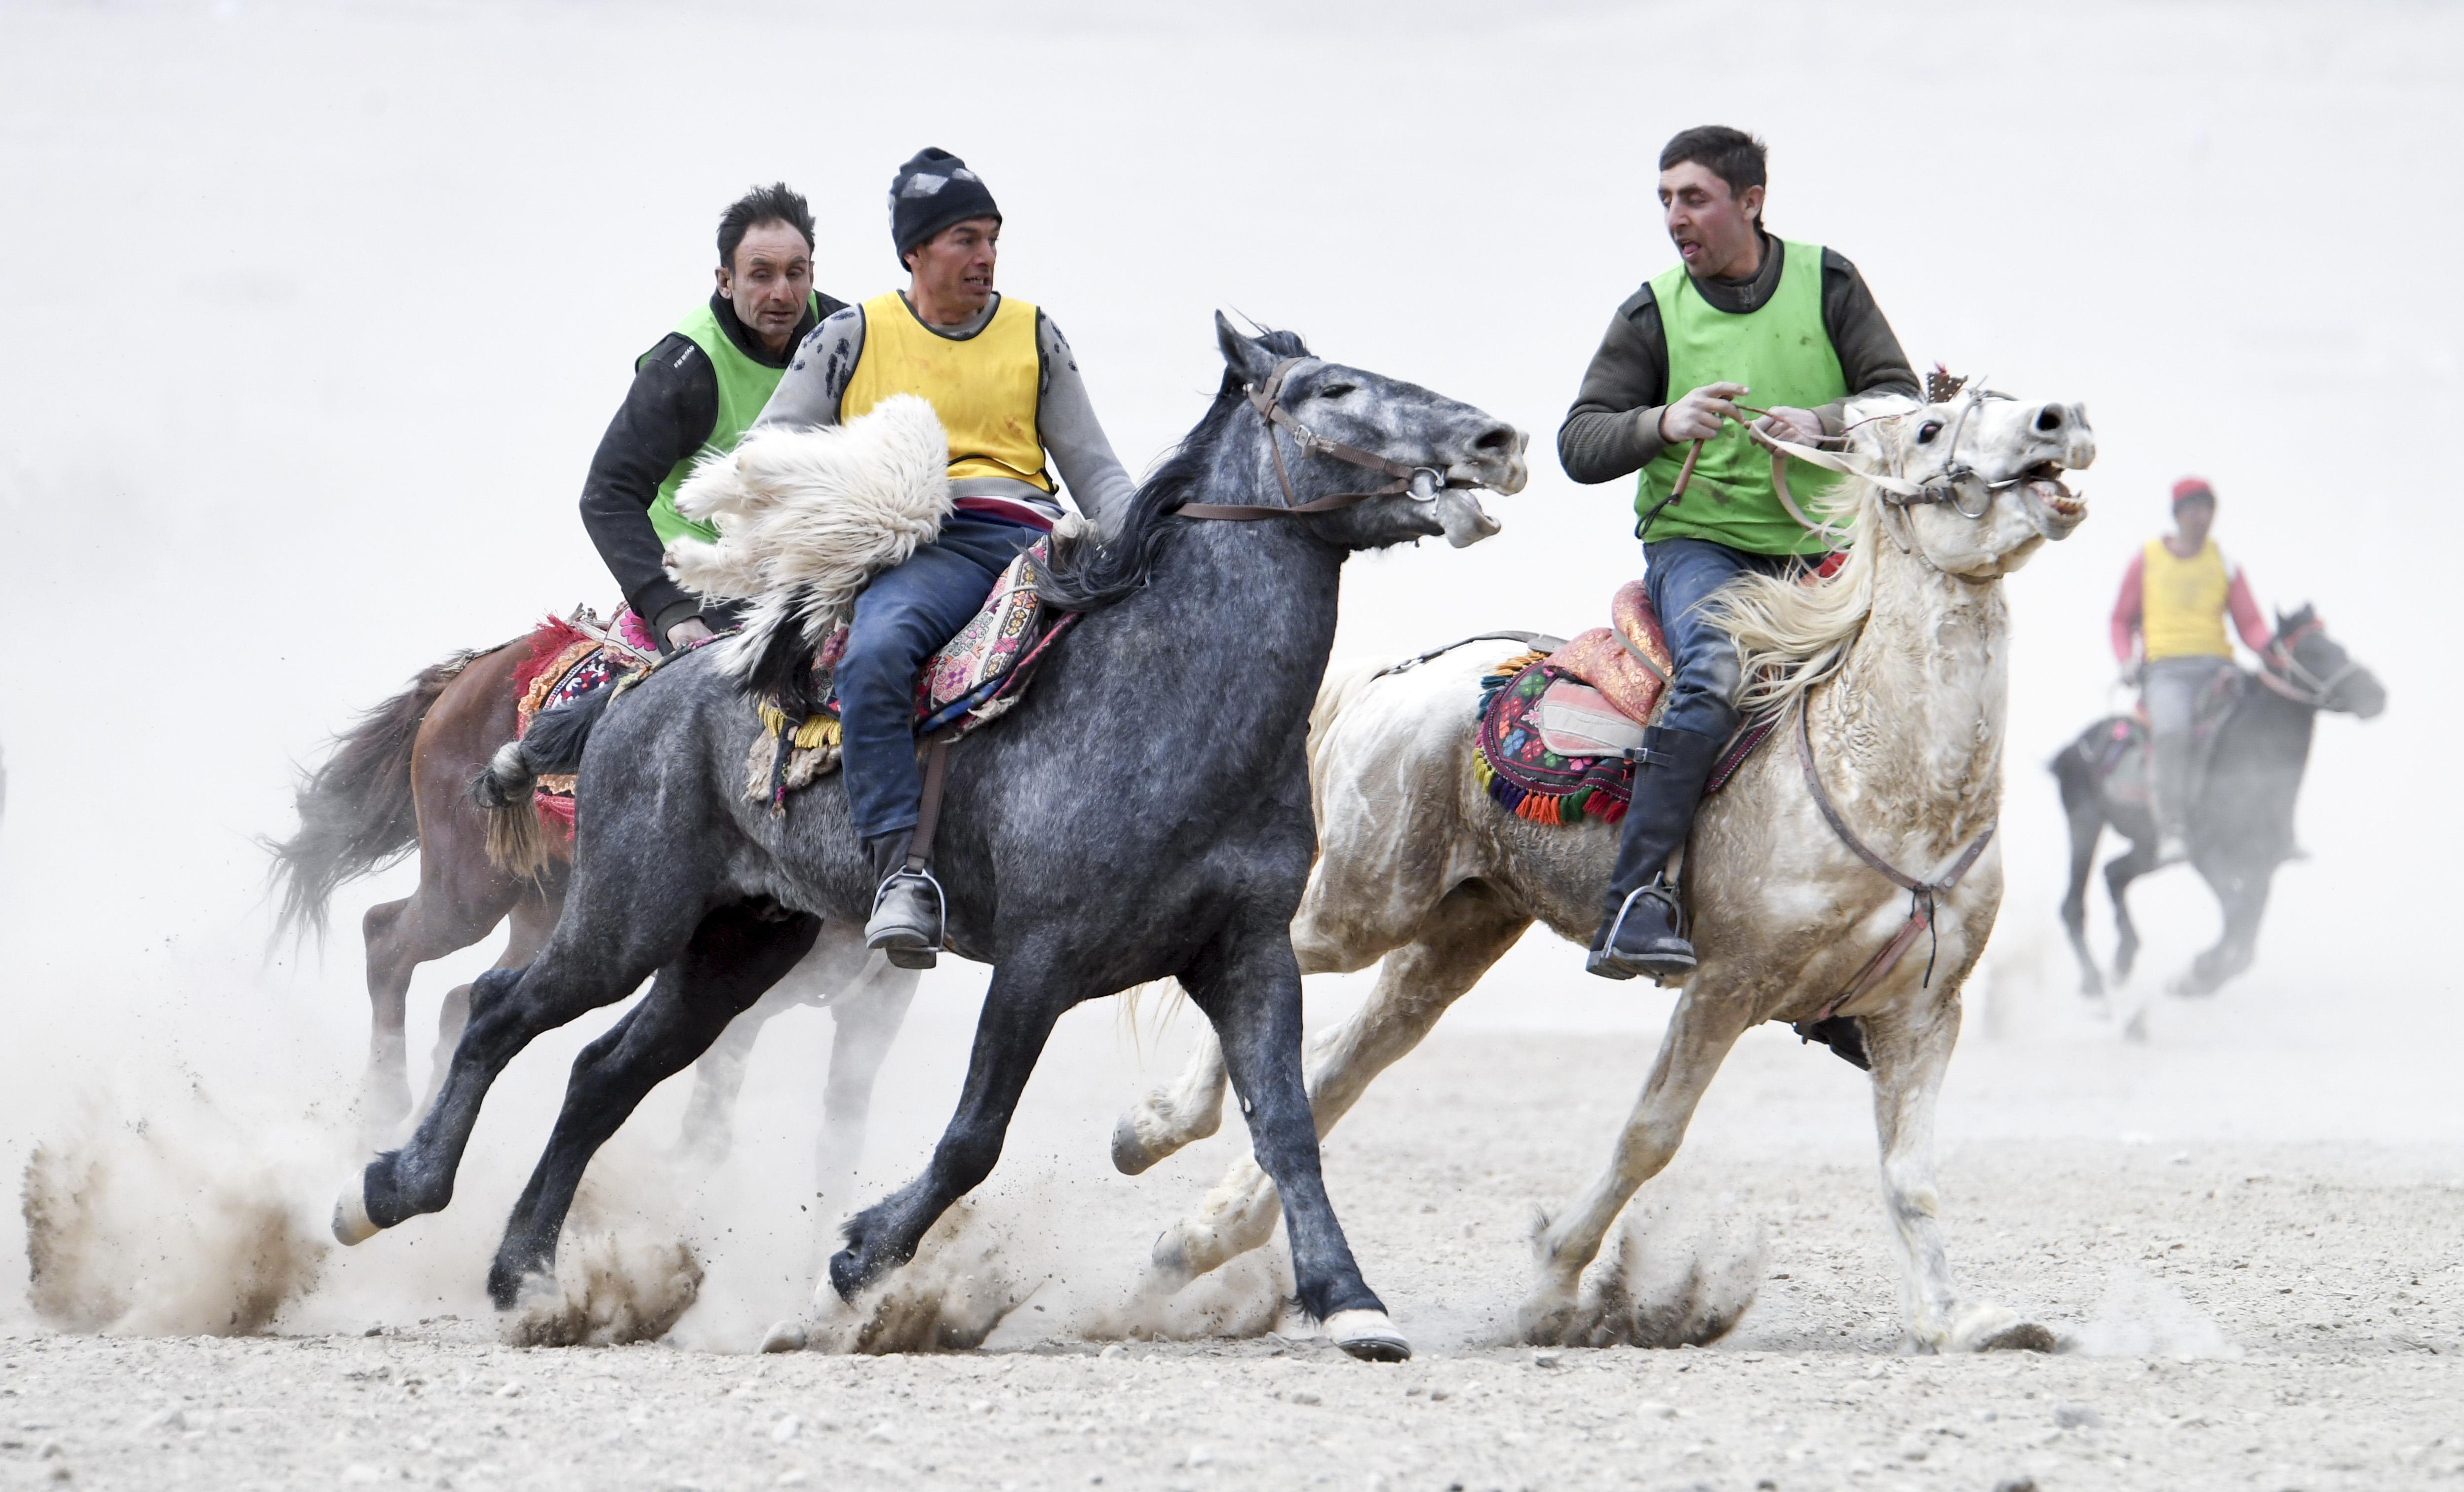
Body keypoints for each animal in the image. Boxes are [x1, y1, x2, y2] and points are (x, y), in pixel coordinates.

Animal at [327, 318, 1518, 1361]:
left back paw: (524, 1274)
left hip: (731, 945)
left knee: (599, 1073)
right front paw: (845, 1271)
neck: (1169, 699)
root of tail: (641, 684)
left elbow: (1288, 1127)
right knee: (497, 1011)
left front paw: (1350, 1300)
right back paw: (382, 1192)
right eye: (1332, 388)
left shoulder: (1248, 951)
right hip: (625, 917)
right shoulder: (1040, 958)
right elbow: (972, 1135)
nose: (1494, 441)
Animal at [1108, 382, 2089, 1351]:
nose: (2060, 420)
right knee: (1277, 966)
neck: (1883, 776)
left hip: (1457, 936)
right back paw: (1151, 1131)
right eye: (1929, 427)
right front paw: (1551, 1287)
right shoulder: (1725, 985)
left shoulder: (1921, 1013)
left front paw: (1958, 1321)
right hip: (1364, 902)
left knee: (1338, 1066)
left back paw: (1196, 1242)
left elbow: (1909, 1173)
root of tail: (1400, 675)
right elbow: (1649, 1136)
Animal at [2060, 604, 2385, 1001]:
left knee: (2114, 874)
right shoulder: (2206, 856)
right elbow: (2236, 914)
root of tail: (2074, 747)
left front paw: (2202, 977)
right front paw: (2196, 974)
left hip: (2148, 848)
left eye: (2339, 646)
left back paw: (2122, 962)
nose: (2376, 694)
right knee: (2073, 904)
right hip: (2085, 824)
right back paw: (2094, 981)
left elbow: (2247, 930)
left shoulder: (2264, 863)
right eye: (2312, 652)